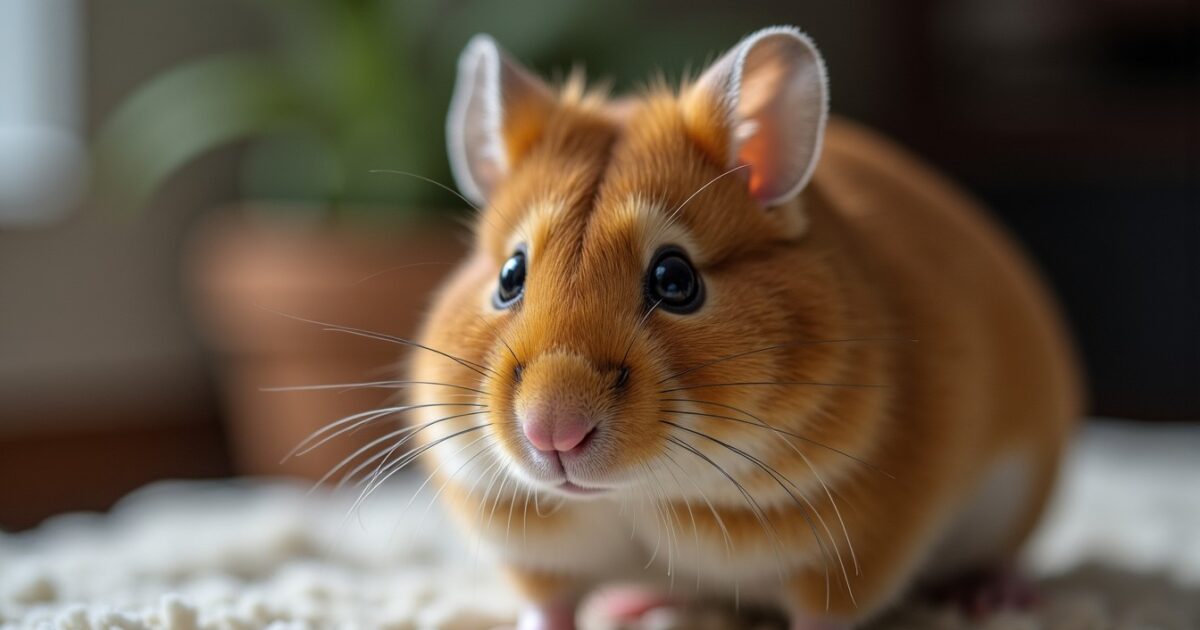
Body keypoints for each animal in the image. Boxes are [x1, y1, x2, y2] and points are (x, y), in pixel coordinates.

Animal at [405, 26, 1081, 630]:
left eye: (675, 279)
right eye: (509, 276)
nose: (554, 434)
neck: (639, 494)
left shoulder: (852, 553)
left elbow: (823, 617)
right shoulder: (534, 557)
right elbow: (549, 610)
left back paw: (997, 598)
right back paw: (634, 602)